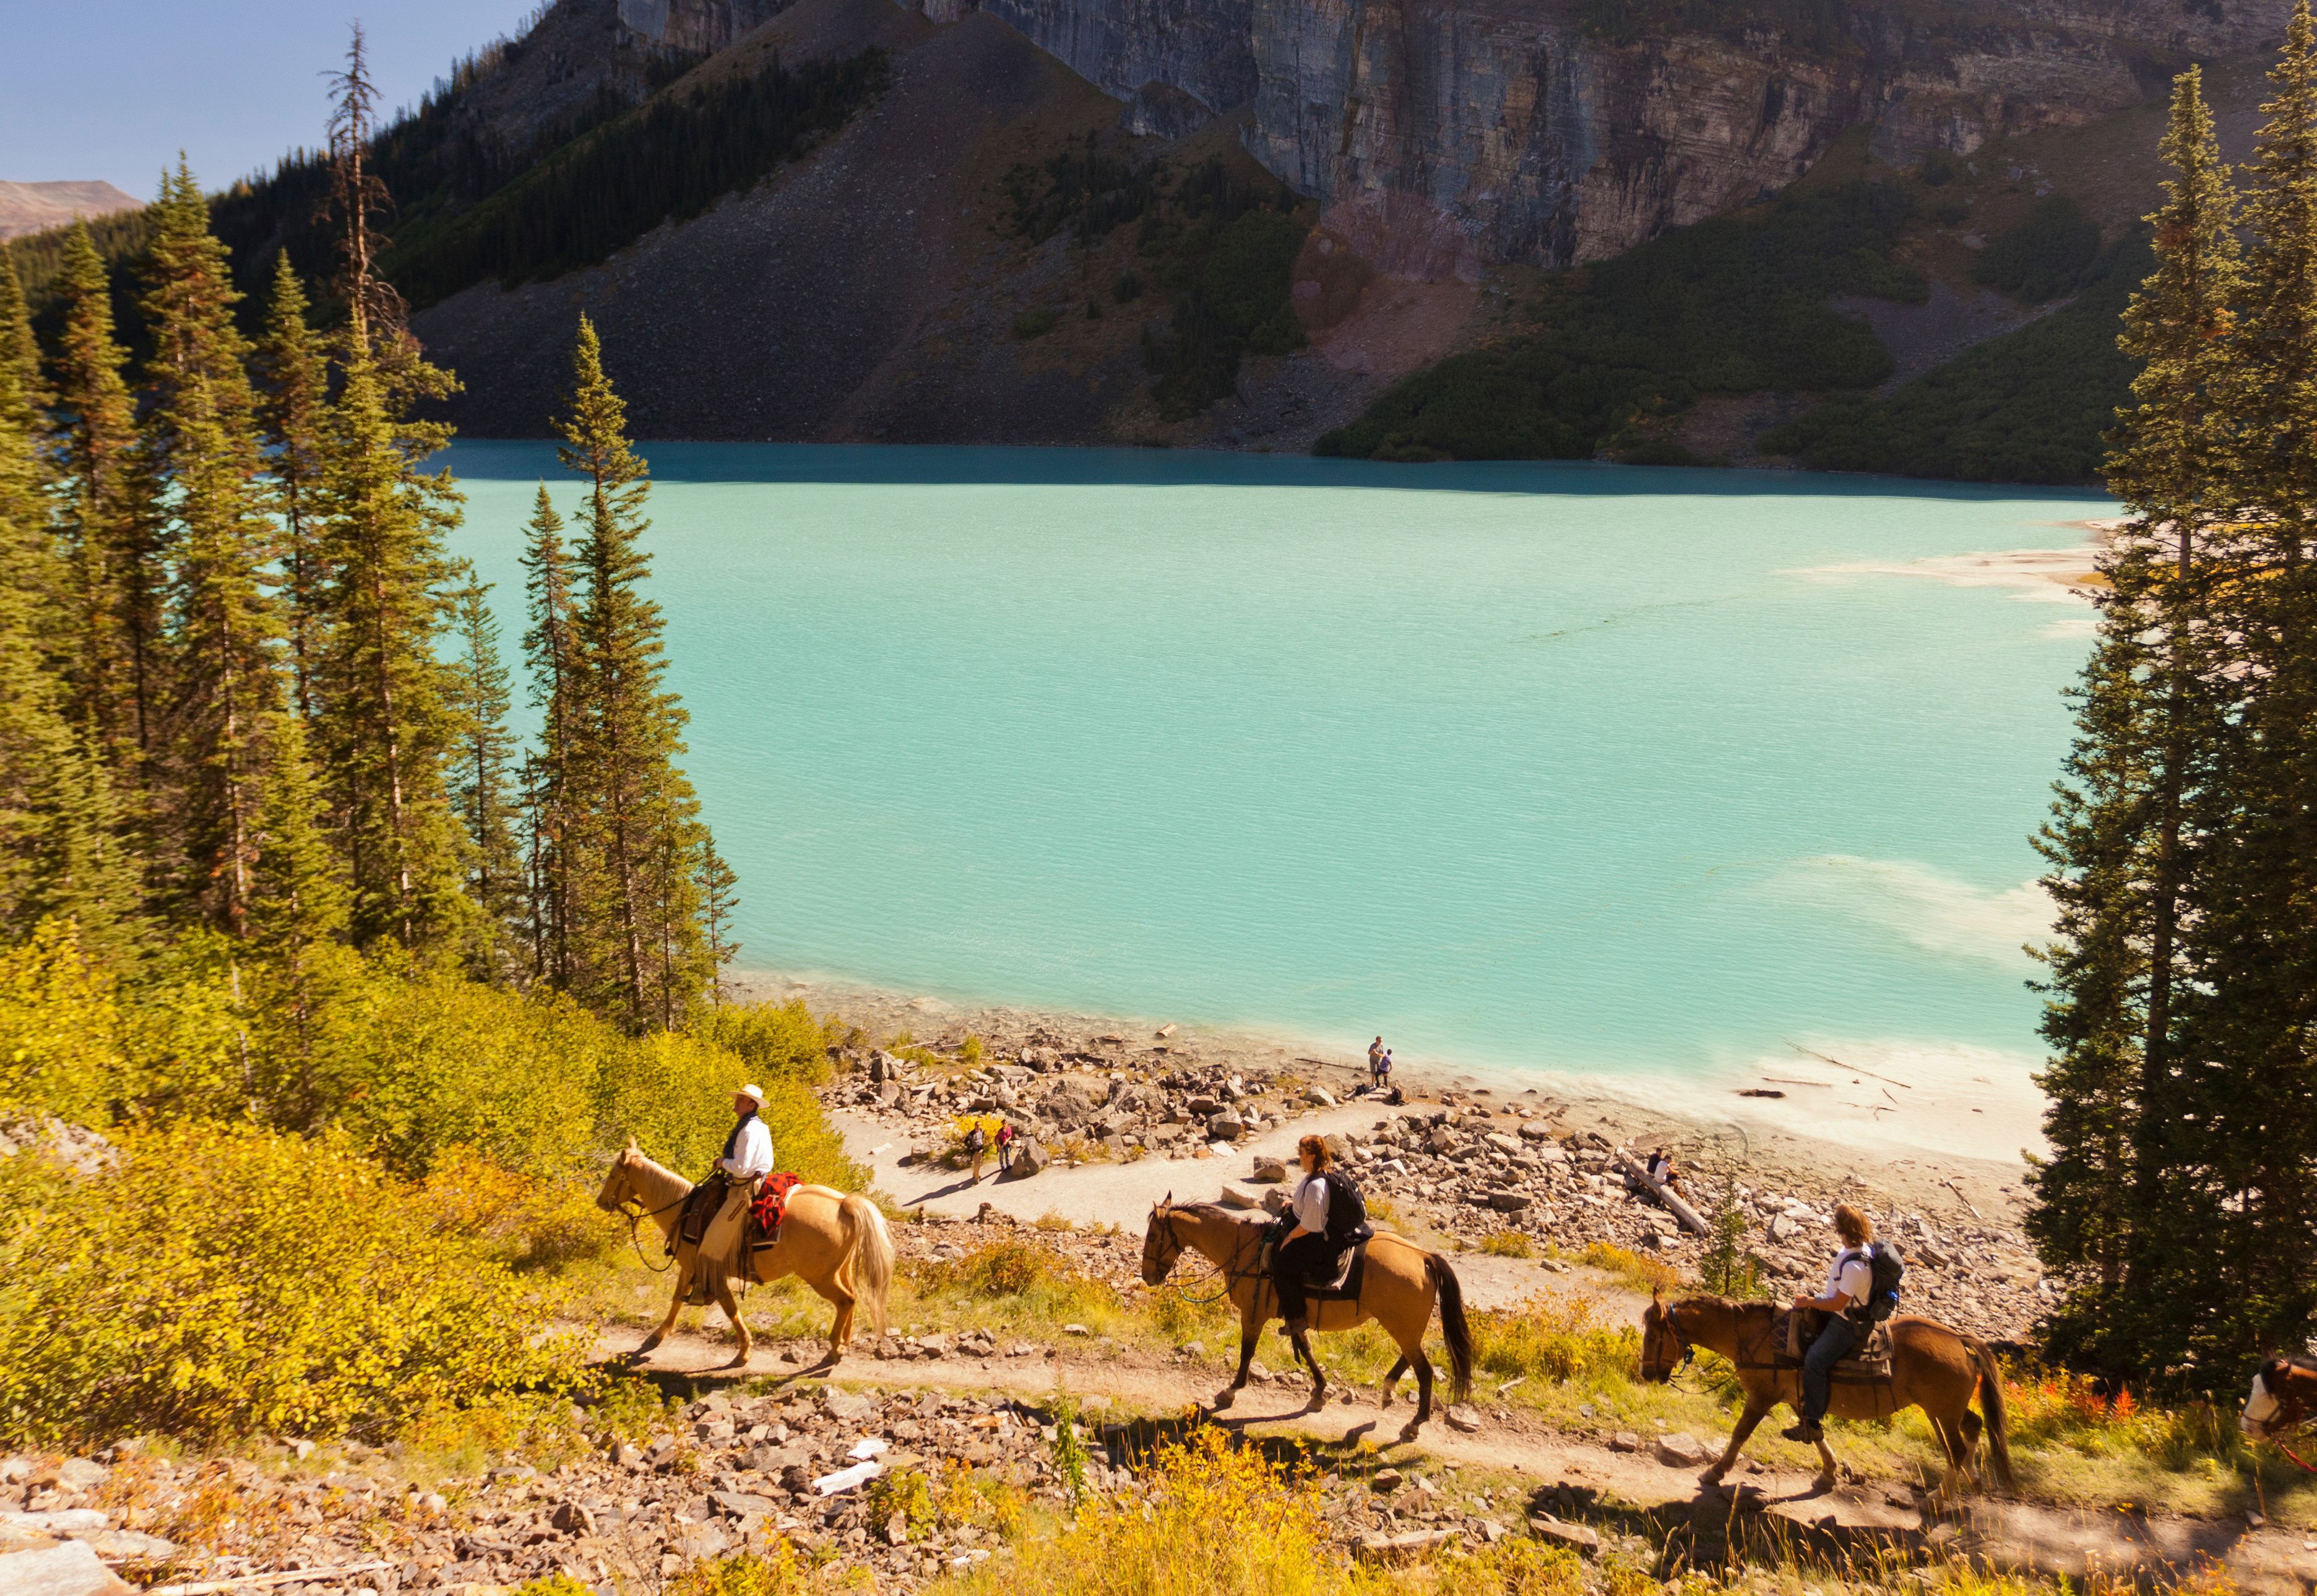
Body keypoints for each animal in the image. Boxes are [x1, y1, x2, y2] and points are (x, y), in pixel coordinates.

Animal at [593, 1135, 889, 1371]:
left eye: (613, 1175)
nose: (600, 1202)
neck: (683, 1210)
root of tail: (844, 1204)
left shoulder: (711, 1270)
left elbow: (730, 1309)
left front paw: (744, 1353)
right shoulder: (690, 1268)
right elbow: (677, 1299)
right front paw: (657, 1336)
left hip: (820, 1277)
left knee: (845, 1301)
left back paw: (834, 1350)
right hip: (840, 1270)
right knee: (853, 1299)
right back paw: (845, 1343)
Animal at [1135, 1195, 1473, 1445]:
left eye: (1152, 1236)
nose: (1148, 1276)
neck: (1245, 1250)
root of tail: (1425, 1257)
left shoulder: (1254, 1315)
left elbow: (1247, 1353)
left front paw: (1229, 1392)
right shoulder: (1295, 1313)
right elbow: (1307, 1350)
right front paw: (1319, 1393)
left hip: (1401, 1325)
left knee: (1424, 1371)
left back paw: (1413, 1424)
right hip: (1404, 1327)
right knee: (1409, 1358)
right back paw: (1389, 1391)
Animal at [1631, 1288, 2011, 1501]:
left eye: (1654, 1336)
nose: (1646, 1374)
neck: (1756, 1337)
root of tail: (1959, 1339)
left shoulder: (1762, 1397)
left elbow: (1740, 1434)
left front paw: (1715, 1472)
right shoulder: (1801, 1397)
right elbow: (1815, 1434)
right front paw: (1828, 1474)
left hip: (1941, 1411)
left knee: (1956, 1449)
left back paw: (1938, 1497)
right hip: (1942, 1410)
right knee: (1972, 1427)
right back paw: (1974, 1480)